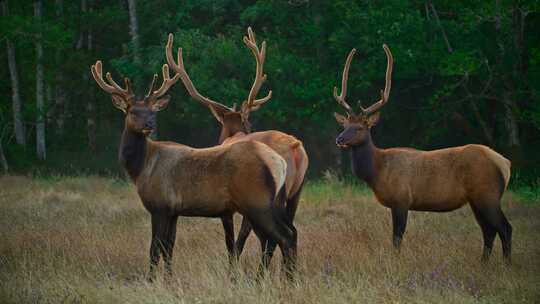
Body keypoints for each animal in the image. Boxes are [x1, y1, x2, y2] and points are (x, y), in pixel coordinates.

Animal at [90, 59, 298, 280]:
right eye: (132, 111)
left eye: (152, 111)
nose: (150, 124)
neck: (141, 168)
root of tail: (278, 161)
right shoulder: (173, 211)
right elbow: (168, 248)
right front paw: (169, 278)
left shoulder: (159, 205)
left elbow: (154, 248)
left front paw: (152, 280)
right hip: (274, 202)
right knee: (288, 233)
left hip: (256, 202)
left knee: (282, 237)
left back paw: (285, 279)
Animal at [165, 27, 308, 262]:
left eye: (249, 122)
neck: (232, 133)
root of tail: (296, 148)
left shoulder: (235, 205)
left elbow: (235, 241)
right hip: (296, 191)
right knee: (291, 232)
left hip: (271, 195)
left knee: (275, 238)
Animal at [332, 46, 512, 262]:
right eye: (344, 125)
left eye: (360, 128)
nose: (339, 139)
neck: (377, 171)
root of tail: (505, 164)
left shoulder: (401, 199)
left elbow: (397, 238)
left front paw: (396, 260)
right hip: (477, 199)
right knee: (489, 231)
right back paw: (484, 262)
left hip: (488, 194)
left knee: (505, 228)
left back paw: (507, 263)